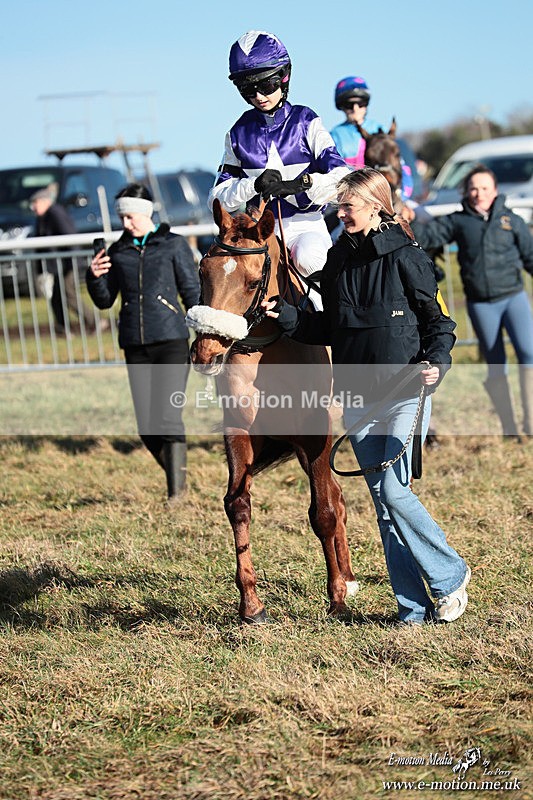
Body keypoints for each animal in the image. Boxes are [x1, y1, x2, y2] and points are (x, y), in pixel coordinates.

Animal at [186, 199, 358, 624]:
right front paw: (251, 604)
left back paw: (347, 580)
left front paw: (336, 598)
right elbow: (238, 505)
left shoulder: (315, 433)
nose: (206, 353)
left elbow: (323, 512)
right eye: (202, 271)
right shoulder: (240, 432)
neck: (272, 348)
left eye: (252, 282)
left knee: (335, 499)